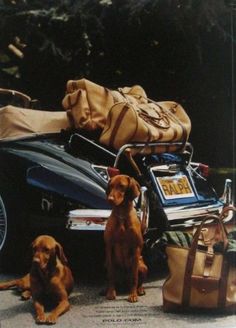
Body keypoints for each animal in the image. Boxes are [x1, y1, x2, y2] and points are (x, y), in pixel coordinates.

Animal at [103, 174, 147, 302]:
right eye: (111, 186)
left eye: (121, 186)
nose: (110, 199)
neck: (122, 214)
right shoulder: (109, 246)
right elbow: (111, 275)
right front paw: (110, 292)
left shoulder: (136, 247)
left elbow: (134, 276)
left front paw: (133, 295)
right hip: (106, 264)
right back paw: (105, 289)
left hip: (143, 266)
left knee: (139, 280)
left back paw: (139, 290)